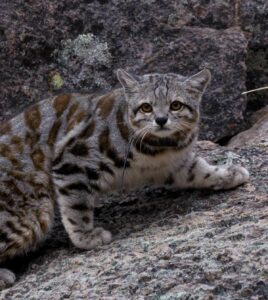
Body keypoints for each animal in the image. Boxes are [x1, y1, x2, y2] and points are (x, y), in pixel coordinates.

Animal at [0, 68, 249, 288]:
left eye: (175, 105)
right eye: (146, 107)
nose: (161, 120)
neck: (159, 147)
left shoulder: (175, 166)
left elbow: (201, 170)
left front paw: (228, 173)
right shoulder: (71, 160)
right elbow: (76, 206)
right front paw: (86, 237)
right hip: (33, 210)